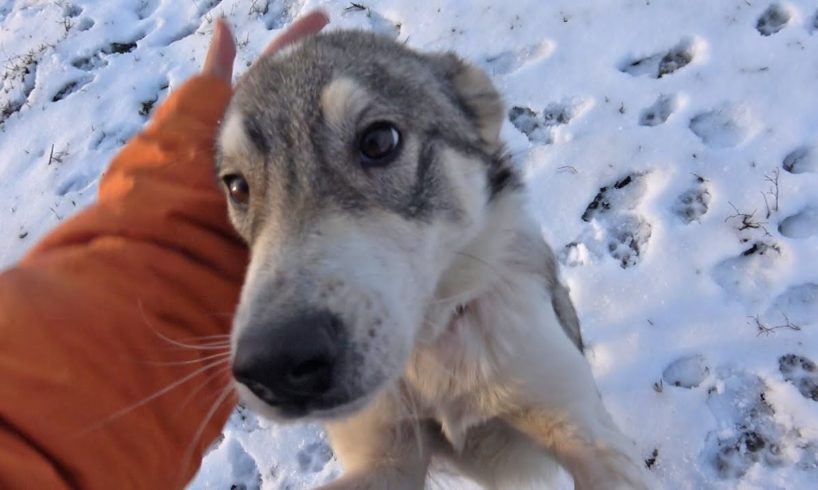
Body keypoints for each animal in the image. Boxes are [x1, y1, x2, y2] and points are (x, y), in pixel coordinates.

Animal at [217, 30, 652, 490]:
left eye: (379, 141)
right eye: (237, 186)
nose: (272, 365)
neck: (433, 354)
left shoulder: (578, 425)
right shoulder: (387, 455)